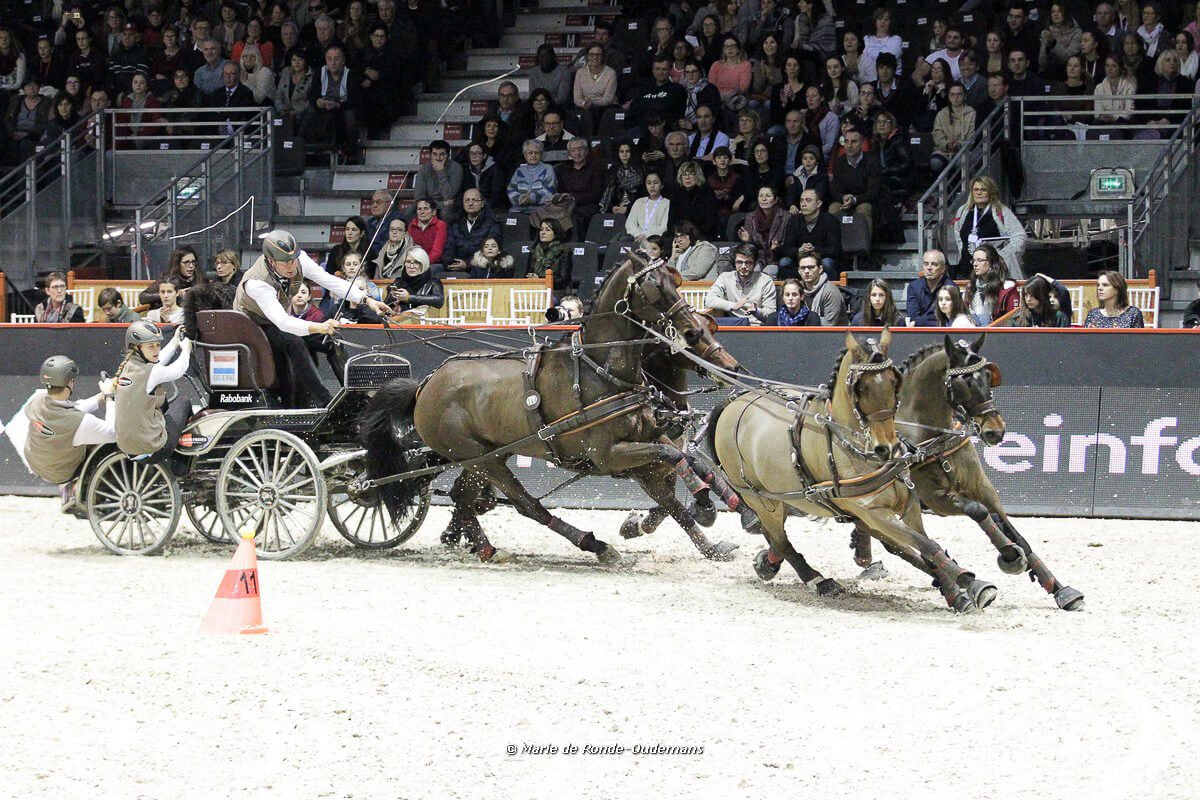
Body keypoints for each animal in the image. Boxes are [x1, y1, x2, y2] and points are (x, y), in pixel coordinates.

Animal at [360, 256, 744, 564]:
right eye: (656, 290)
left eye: (677, 284)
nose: (692, 332)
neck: (601, 371)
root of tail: (425, 385)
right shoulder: (611, 455)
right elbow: (675, 463)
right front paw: (704, 509)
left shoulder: (645, 451)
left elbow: (679, 486)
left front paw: (712, 541)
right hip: (482, 459)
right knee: (525, 504)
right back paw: (593, 545)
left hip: (484, 456)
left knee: (464, 497)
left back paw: (485, 547)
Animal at [707, 328, 998, 612]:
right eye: (861, 387)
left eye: (894, 382)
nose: (886, 448)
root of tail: (734, 402)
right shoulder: (874, 513)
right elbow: (927, 544)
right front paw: (971, 582)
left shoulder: (910, 504)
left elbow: (924, 547)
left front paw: (956, 592)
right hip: (761, 498)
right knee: (780, 539)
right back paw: (818, 580)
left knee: (774, 536)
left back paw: (769, 563)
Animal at [842, 334, 1085, 610]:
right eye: (962, 383)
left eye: (988, 377)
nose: (995, 431)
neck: (932, 437)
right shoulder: (936, 500)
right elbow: (976, 510)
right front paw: (1009, 556)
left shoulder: (982, 487)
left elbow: (1012, 530)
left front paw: (1060, 589)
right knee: (903, 548)